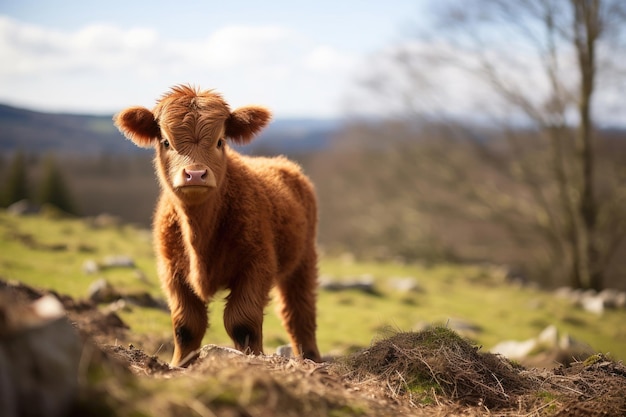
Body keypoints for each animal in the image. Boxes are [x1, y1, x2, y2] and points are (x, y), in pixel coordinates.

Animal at [112, 85, 324, 364]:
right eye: (166, 141)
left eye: (220, 141)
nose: (195, 174)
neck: (199, 234)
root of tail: (282, 163)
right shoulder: (172, 271)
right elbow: (186, 326)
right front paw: (180, 364)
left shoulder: (257, 264)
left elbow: (242, 323)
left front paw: (253, 360)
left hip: (303, 260)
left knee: (300, 314)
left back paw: (311, 357)